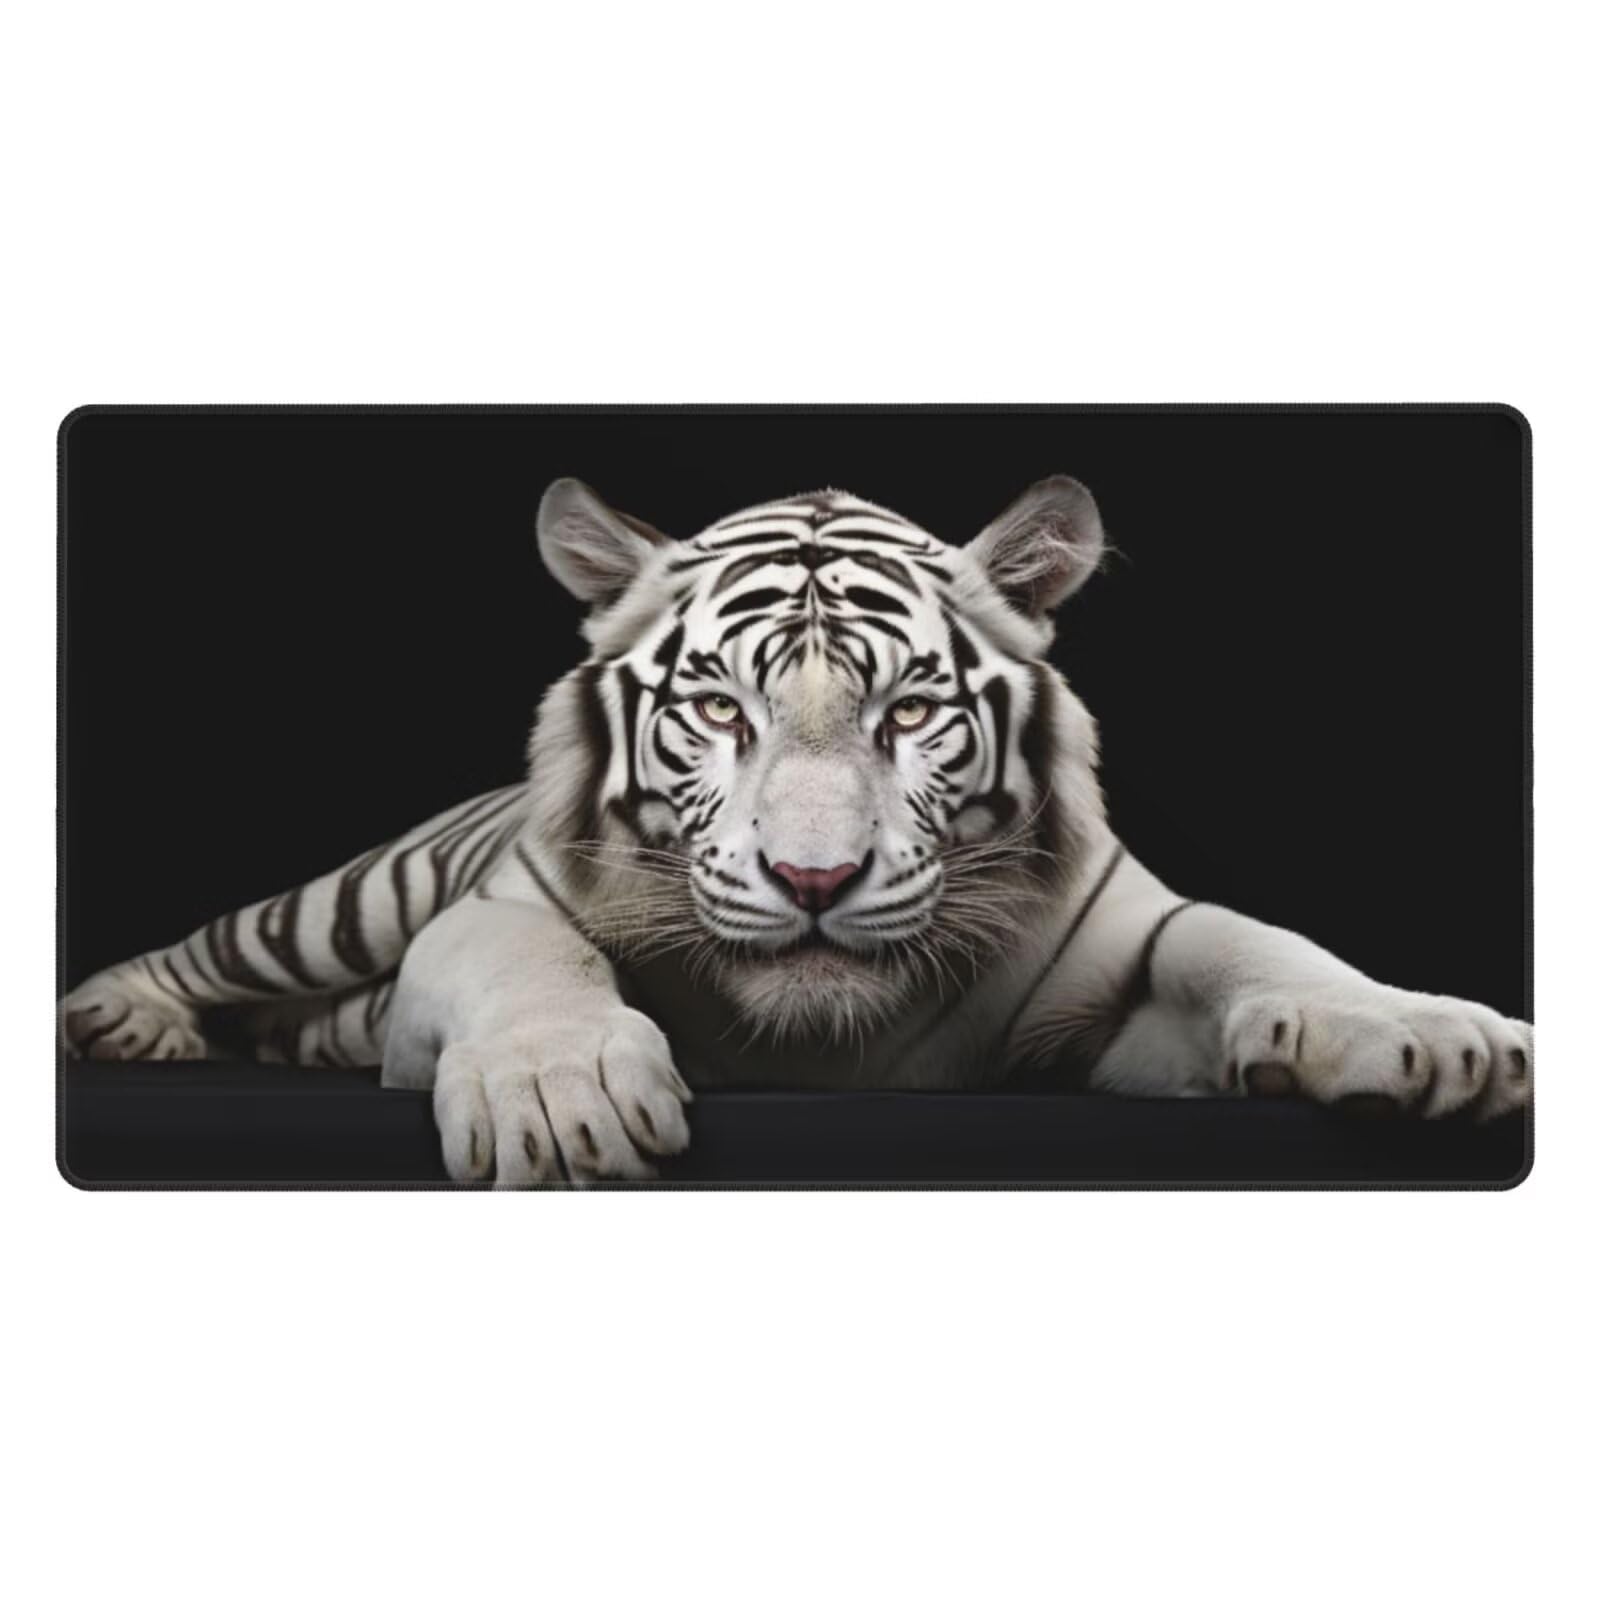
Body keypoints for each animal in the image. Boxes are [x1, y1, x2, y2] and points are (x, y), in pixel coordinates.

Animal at [60, 475, 1533, 1184]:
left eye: (911, 710)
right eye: (719, 707)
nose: (813, 877)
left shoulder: (1115, 977)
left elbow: (1246, 938)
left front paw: (1424, 1035)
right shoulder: (493, 918)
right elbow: (533, 962)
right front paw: (562, 1094)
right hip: (350, 903)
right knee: (222, 947)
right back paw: (120, 1016)